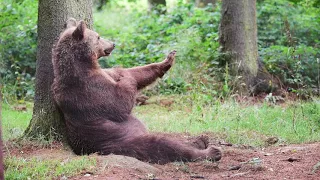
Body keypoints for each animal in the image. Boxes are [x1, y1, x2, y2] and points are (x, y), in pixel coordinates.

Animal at [53, 18, 222, 165]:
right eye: (98, 36)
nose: (113, 44)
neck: (85, 64)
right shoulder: (89, 89)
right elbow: (119, 103)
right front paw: (125, 77)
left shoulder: (104, 74)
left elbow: (136, 72)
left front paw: (167, 60)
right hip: (121, 140)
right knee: (162, 145)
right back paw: (211, 152)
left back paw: (200, 140)